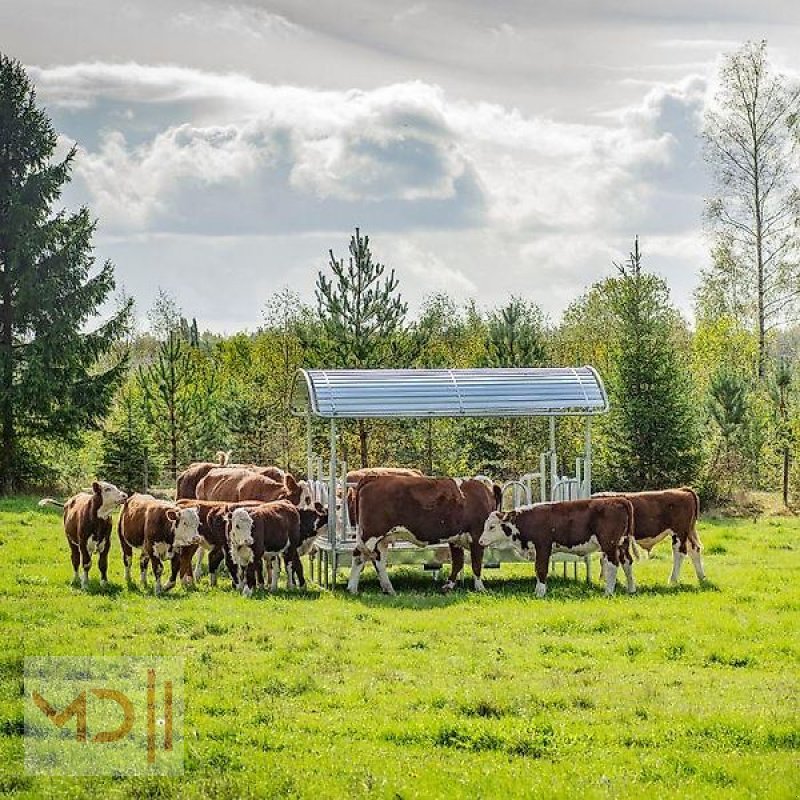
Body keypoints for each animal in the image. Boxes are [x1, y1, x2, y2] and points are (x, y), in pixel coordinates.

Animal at [348, 476, 500, 592]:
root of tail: (374, 477)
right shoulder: (477, 536)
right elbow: (476, 563)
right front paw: (480, 588)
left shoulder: (455, 539)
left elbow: (457, 562)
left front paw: (448, 585)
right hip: (371, 533)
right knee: (359, 556)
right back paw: (352, 589)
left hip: (382, 539)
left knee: (378, 560)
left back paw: (389, 588)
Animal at [478, 496, 636, 596]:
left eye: (492, 527)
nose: (480, 541)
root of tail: (618, 499)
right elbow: (537, 569)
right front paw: (538, 590)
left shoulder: (543, 546)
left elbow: (541, 569)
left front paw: (540, 593)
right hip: (622, 544)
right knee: (627, 562)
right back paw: (631, 589)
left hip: (609, 544)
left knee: (613, 564)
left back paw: (608, 592)